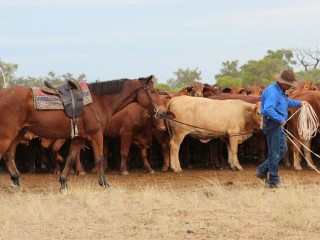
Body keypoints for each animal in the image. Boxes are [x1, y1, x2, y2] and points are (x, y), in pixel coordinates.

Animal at [0, 75, 165, 189]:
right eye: (152, 91)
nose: (163, 111)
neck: (99, 101)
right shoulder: (96, 135)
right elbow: (99, 158)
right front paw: (104, 183)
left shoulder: (79, 138)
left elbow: (71, 158)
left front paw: (63, 184)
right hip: (6, 135)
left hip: (18, 133)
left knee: (9, 155)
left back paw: (16, 181)